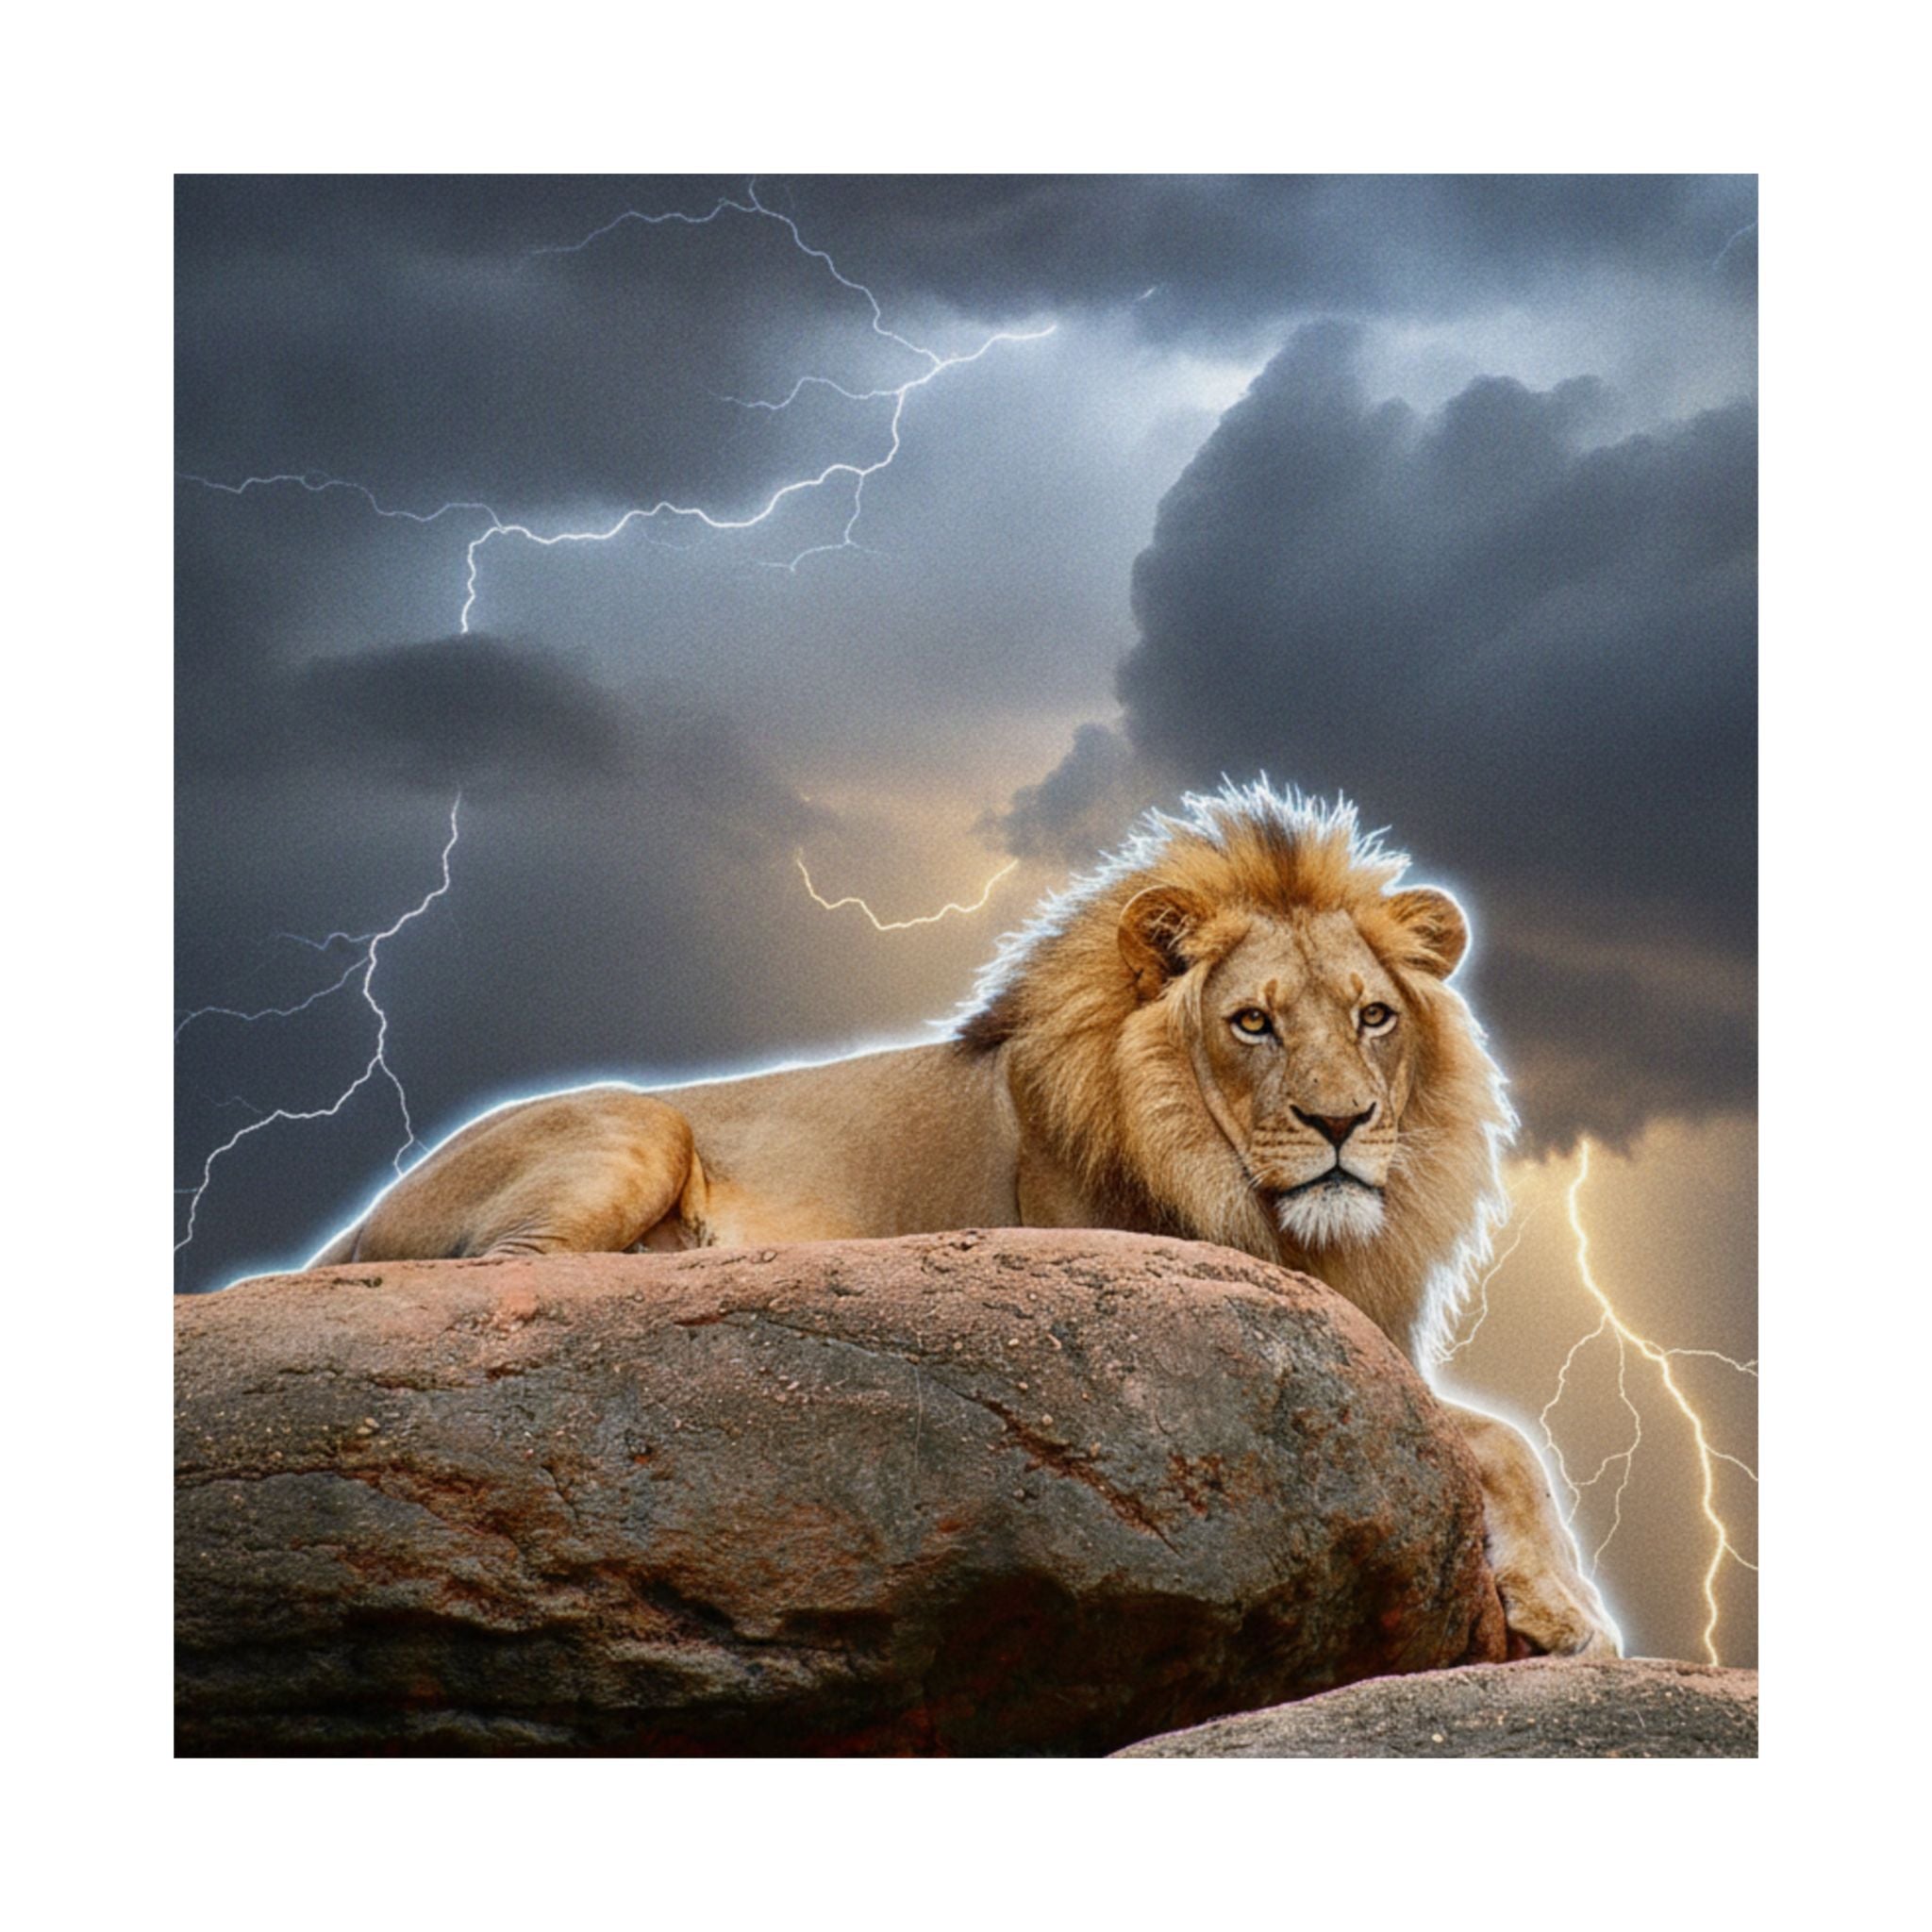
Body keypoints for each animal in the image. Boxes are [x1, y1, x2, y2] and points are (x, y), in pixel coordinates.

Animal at [311, 782, 1618, 1657]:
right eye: (1251, 1021)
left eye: (1371, 1016)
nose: (1341, 1123)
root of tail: (363, 1210)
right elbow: (1494, 1434)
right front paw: (1570, 1613)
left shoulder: (1370, 1335)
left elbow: (1511, 1438)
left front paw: (1562, 1607)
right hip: (637, 1129)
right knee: (516, 1278)